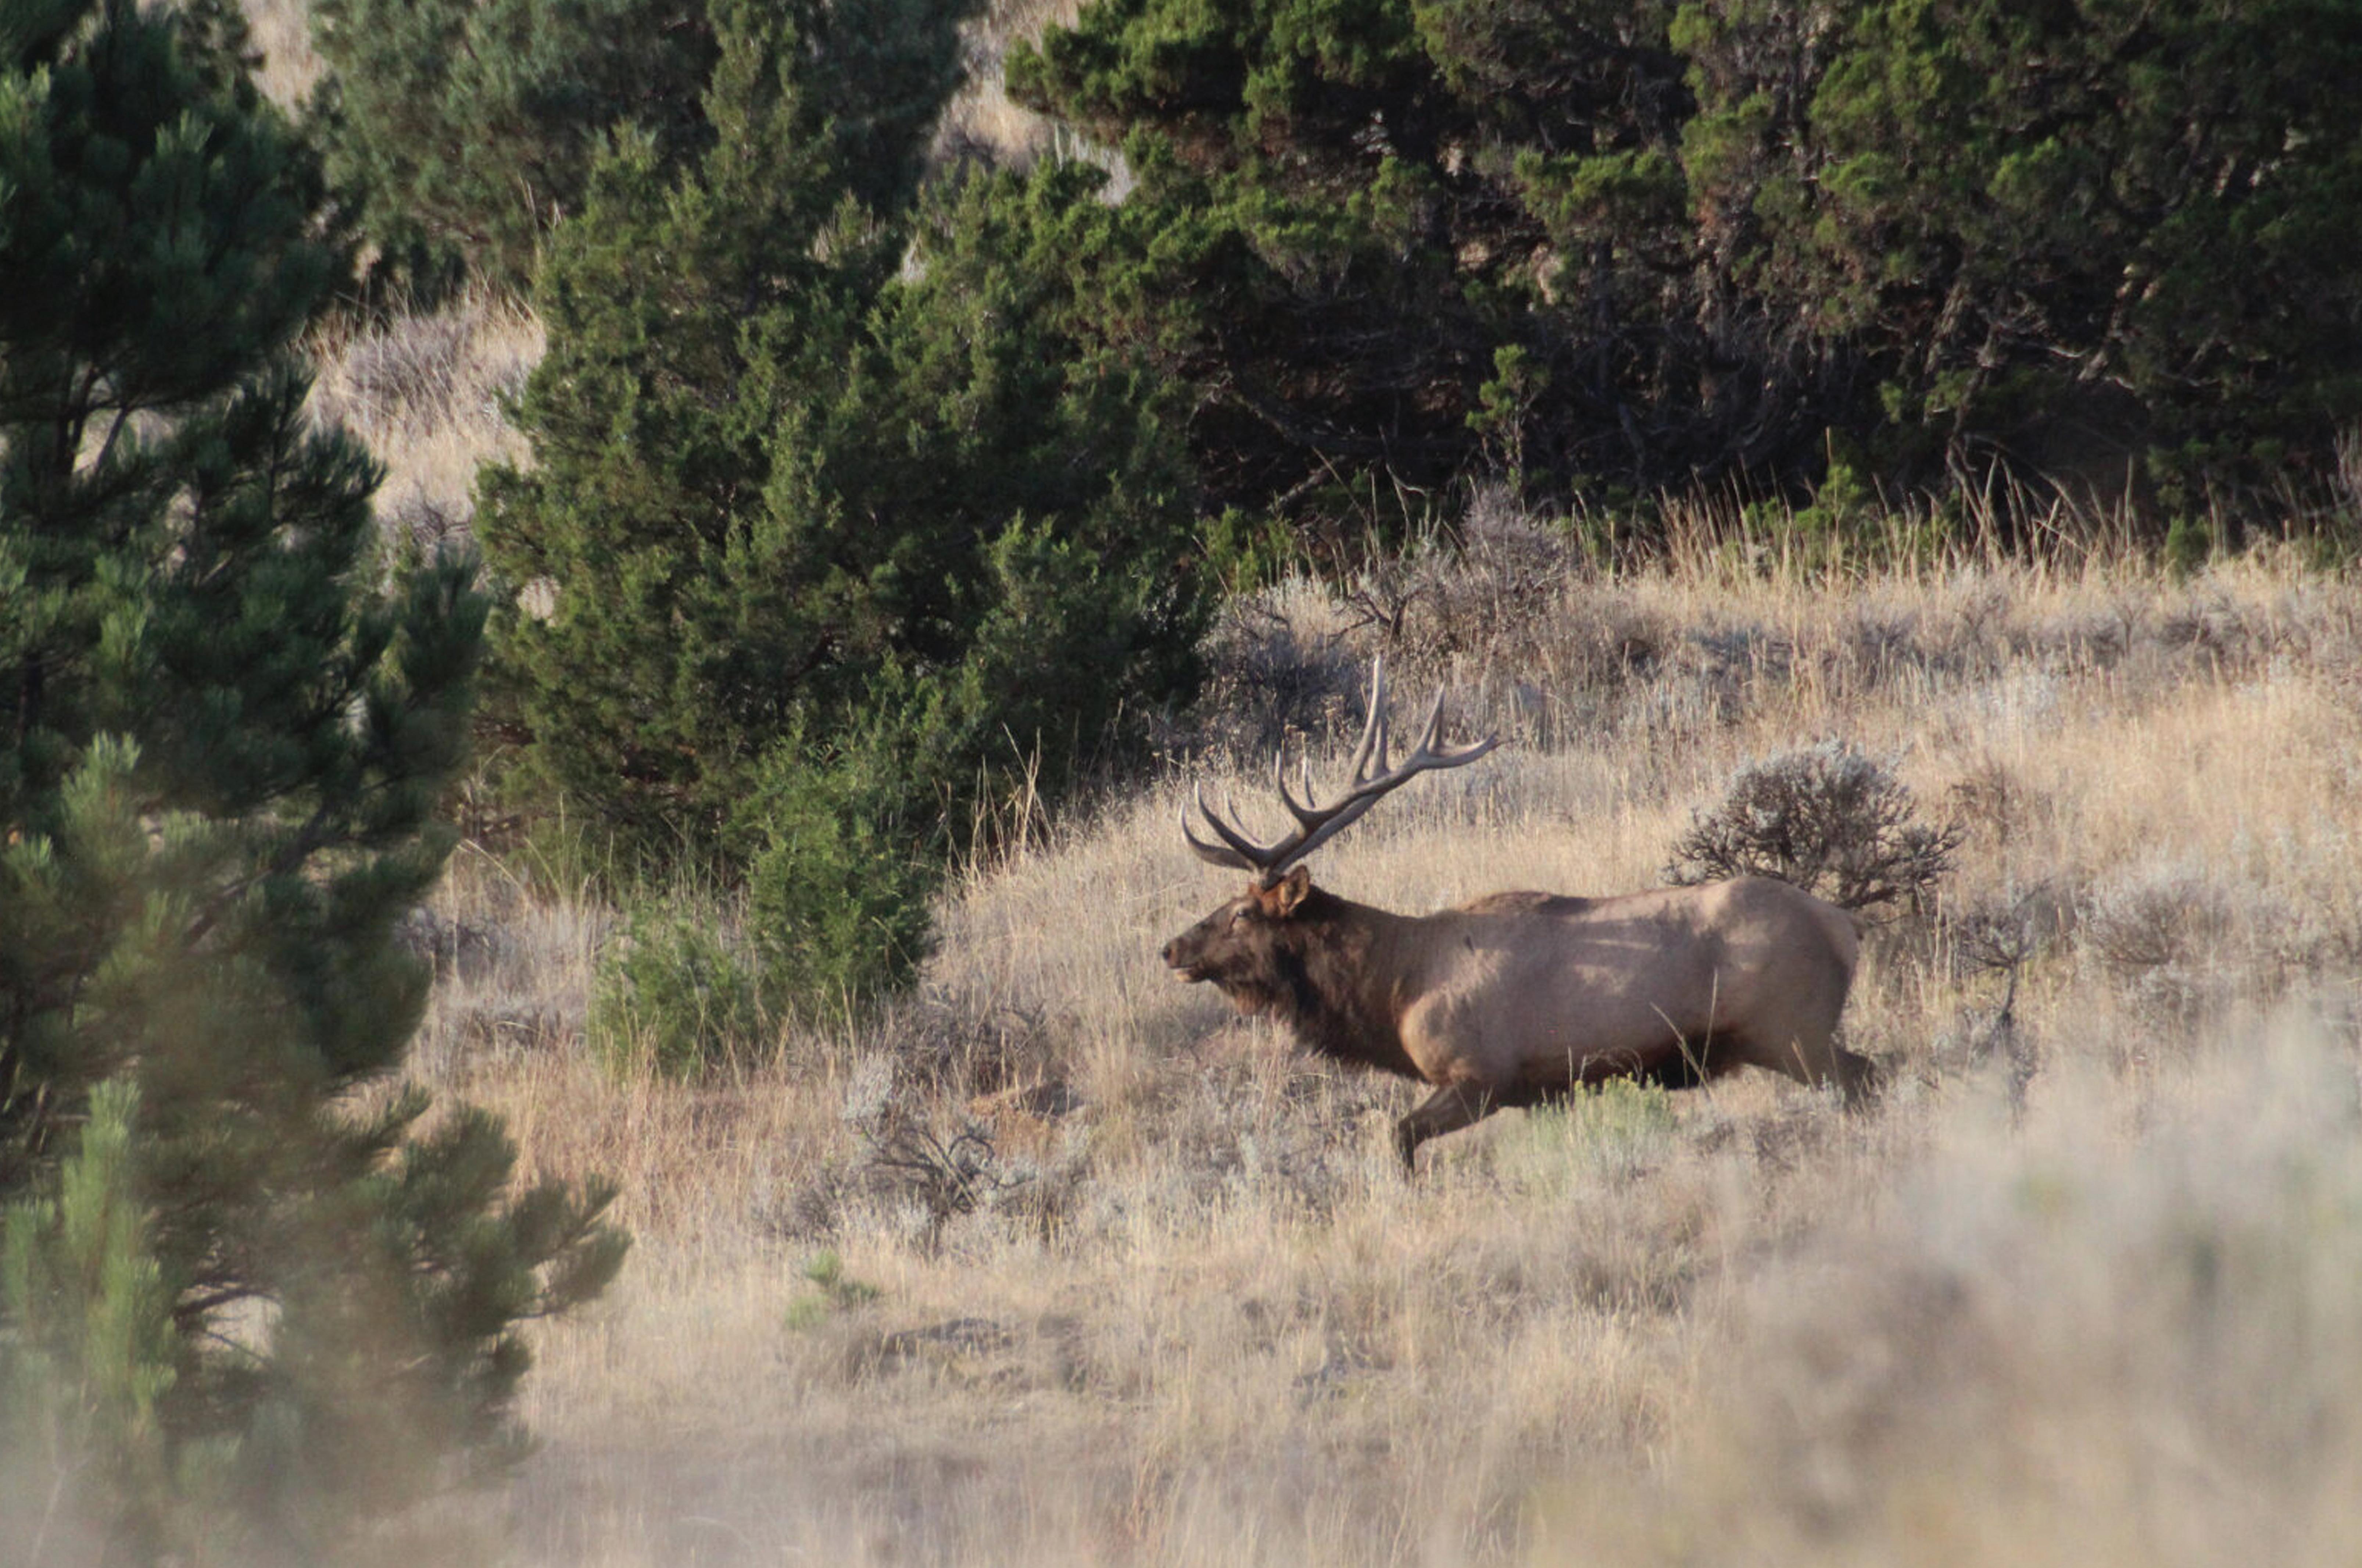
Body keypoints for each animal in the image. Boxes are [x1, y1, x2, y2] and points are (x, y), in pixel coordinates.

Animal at [1161, 661, 1875, 1173]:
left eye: (1242, 913)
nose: (1171, 948)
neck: (1396, 990)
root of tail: (1844, 928)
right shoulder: (1545, 1091)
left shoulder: (1481, 1074)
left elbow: (1398, 1138)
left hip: (1790, 1029)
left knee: (1863, 1078)